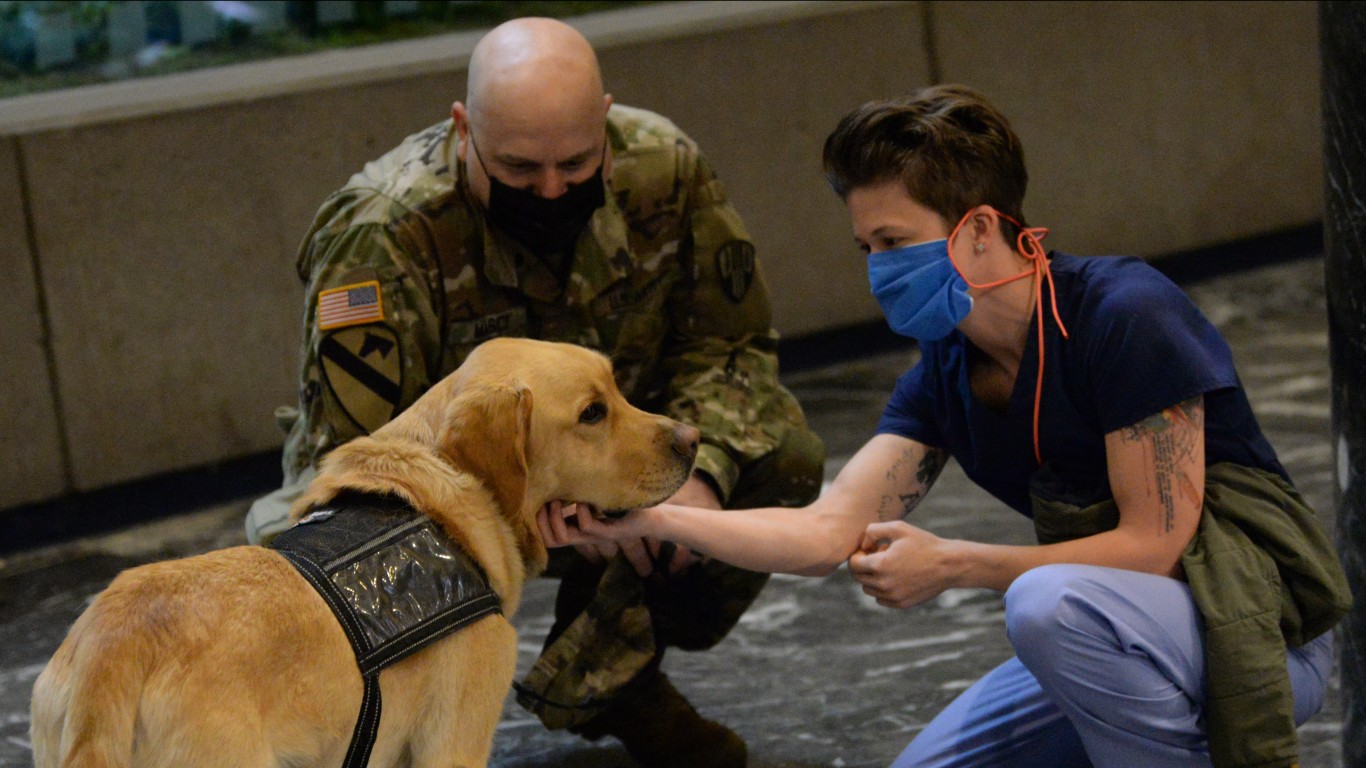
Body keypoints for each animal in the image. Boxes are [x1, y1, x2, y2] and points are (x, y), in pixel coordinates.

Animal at [28, 337, 699, 765]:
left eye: (616, 391)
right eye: (592, 413)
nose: (693, 439)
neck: (442, 503)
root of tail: (114, 652)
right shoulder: (453, 746)